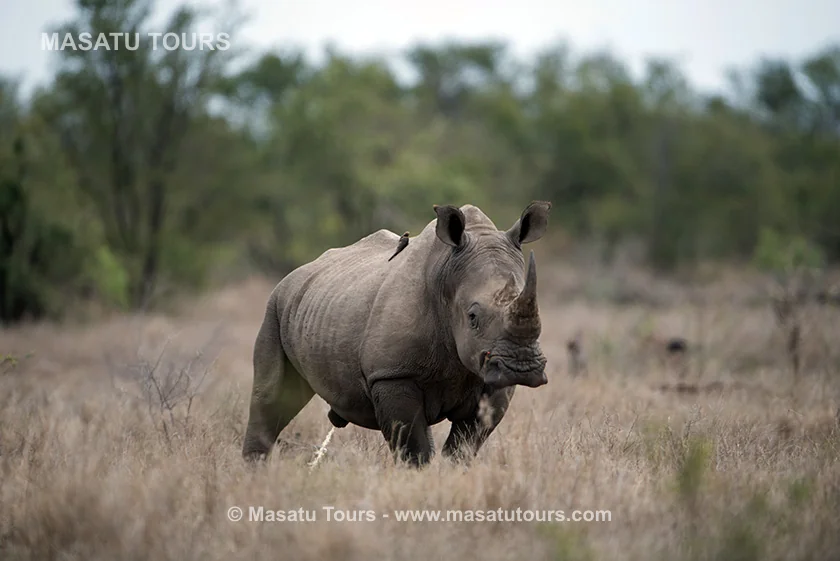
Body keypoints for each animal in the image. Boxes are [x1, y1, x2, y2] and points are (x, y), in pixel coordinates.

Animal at [242, 201, 552, 466]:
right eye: (472, 317)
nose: (521, 367)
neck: (445, 273)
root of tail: (295, 274)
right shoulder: (392, 375)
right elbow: (413, 447)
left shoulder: (492, 379)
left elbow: (463, 447)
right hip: (276, 305)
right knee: (271, 398)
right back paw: (254, 474)